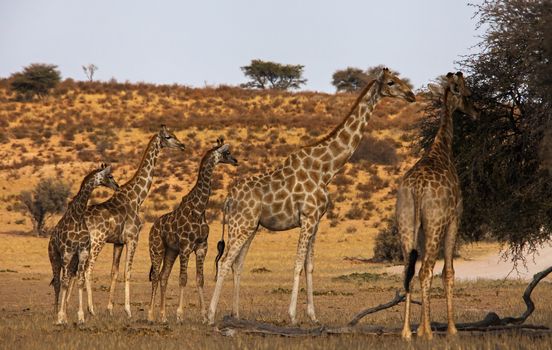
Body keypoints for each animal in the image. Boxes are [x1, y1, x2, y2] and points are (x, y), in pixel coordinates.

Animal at [48, 164, 119, 326]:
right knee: (58, 283)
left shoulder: (82, 252)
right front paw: (60, 317)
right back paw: (56, 314)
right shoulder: (67, 252)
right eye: (110, 176)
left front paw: (80, 317)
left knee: (67, 279)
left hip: (72, 261)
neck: (78, 217)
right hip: (55, 257)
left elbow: (79, 281)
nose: (117, 186)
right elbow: (64, 283)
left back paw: (65, 316)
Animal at [83, 125, 184, 318]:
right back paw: (90, 309)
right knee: (87, 269)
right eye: (168, 137)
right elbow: (127, 272)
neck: (137, 198)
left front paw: (110, 309)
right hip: (97, 241)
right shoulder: (133, 238)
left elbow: (114, 272)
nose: (182, 145)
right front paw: (128, 310)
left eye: (175, 134)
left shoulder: (118, 242)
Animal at [148, 138, 238, 324]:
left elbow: (199, 279)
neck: (199, 208)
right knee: (155, 276)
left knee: (163, 276)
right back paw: (151, 316)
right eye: (226, 152)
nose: (235, 161)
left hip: (170, 251)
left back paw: (163, 316)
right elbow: (183, 279)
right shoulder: (185, 247)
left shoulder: (202, 247)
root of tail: (152, 228)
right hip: (157, 249)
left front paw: (204, 316)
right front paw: (180, 315)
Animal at [207, 68, 414, 326]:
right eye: (391, 82)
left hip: (250, 226)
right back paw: (210, 316)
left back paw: (235, 315)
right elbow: (297, 264)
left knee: (237, 263)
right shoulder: (307, 217)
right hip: (241, 225)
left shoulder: (316, 220)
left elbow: (310, 266)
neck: (325, 170)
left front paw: (313, 316)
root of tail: (227, 199)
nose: (412, 95)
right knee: (225, 262)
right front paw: (293, 316)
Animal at [396, 72, 478, 340]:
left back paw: (406, 332)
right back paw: (430, 333)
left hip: (406, 225)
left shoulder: (421, 228)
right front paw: (451, 329)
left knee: (409, 271)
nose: (476, 113)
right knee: (425, 270)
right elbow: (448, 272)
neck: (442, 149)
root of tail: (417, 190)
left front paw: (420, 328)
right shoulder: (455, 219)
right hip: (435, 224)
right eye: (468, 95)